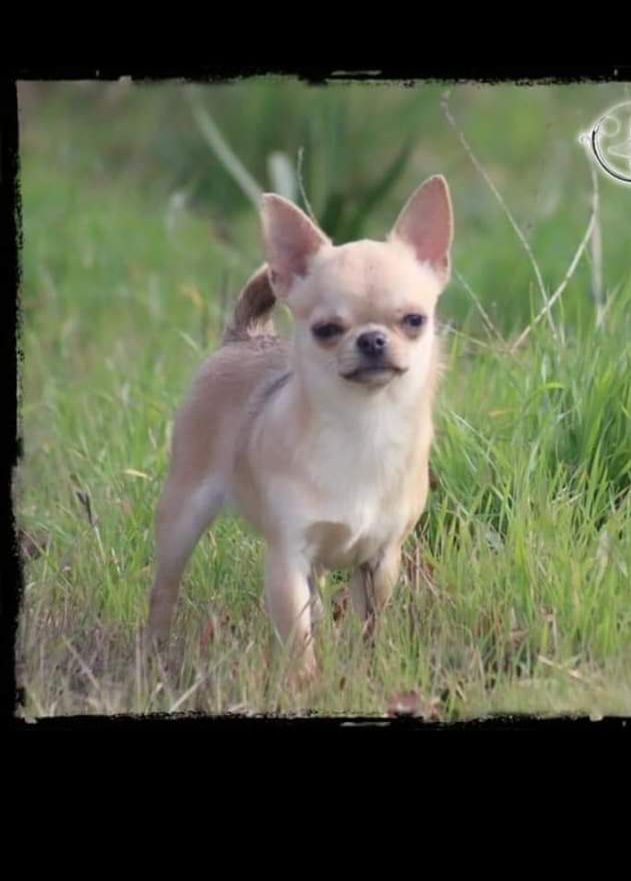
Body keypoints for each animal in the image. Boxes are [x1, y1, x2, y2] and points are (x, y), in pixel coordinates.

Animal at [148, 174, 454, 680]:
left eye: (415, 321)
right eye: (326, 329)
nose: (372, 339)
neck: (362, 425)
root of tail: (246, 336)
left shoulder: (380, 560)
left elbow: (368, 627)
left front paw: (363, 672)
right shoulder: (287, 559)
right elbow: (298, 639)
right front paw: (308, 683)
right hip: (182, 514)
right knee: (164, 589)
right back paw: (155, 649)